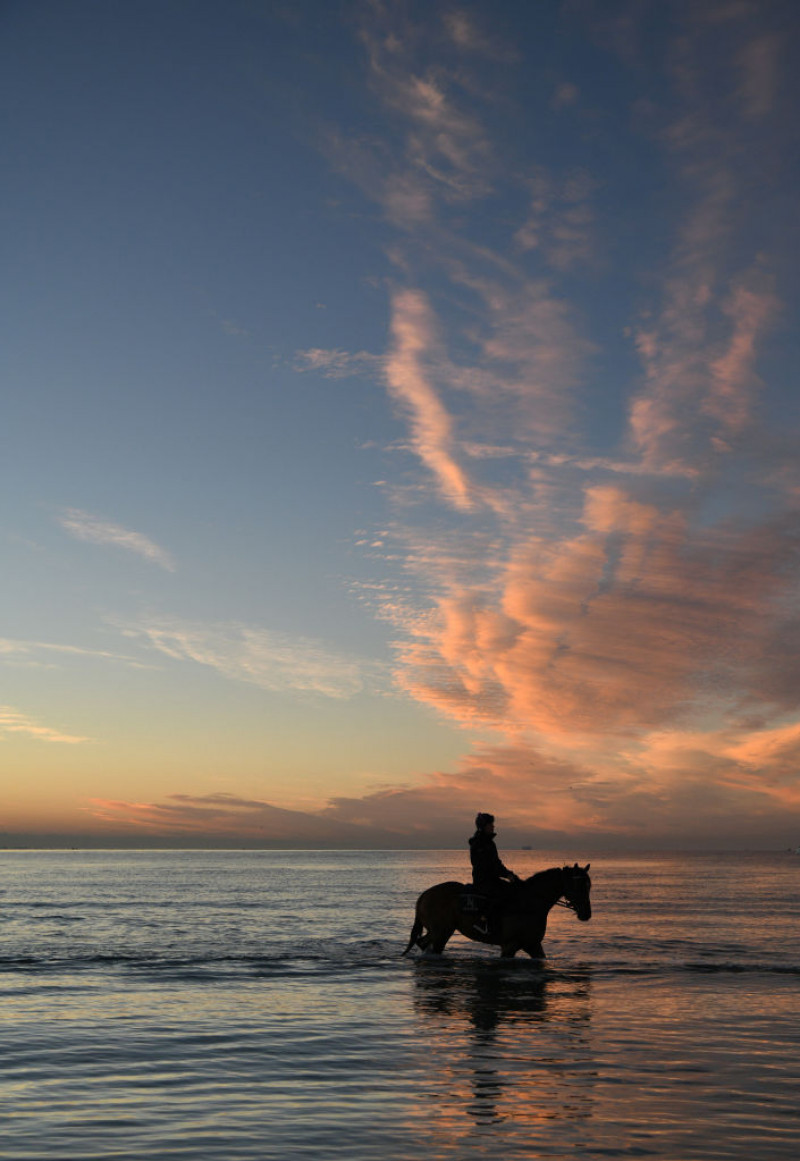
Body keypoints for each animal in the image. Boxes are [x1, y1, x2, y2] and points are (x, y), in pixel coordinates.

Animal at [401, 863, 589, 961]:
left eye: (588, 885)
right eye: (578, 885)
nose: (586, 914)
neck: (529, 902)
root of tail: (424, 895)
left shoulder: (533, 944)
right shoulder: (510, 946)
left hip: (440, 931)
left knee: (423, 943)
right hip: (441, 932)